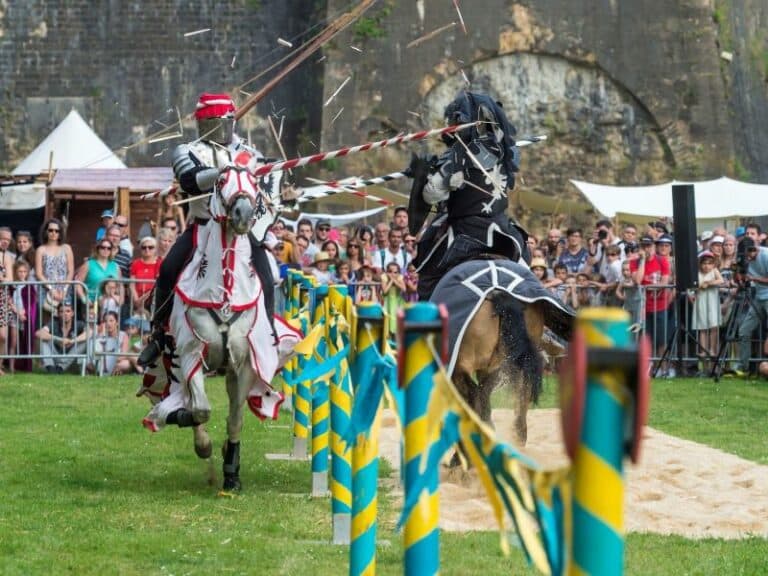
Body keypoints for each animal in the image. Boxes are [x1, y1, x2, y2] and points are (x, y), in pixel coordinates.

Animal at [140, 150, 302, 490]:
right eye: (221, 180)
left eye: (254, 181)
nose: (242, 214)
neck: (224, 293)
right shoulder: (191, 355)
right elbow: (199, 410)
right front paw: (201, 442)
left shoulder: (245, 364)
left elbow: (235, 419)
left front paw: (231, 470)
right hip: (172, 361)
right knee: (182, 396)